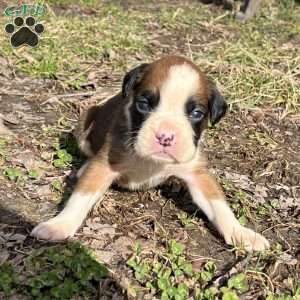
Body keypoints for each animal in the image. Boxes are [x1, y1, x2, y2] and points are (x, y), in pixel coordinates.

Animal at [31, 55, 270, 251]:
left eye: (196, 113)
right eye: (144, 104)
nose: (165, 136)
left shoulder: (198, 175)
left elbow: (219, 206)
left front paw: (240, 233)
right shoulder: (104, 165)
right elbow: (80, 198)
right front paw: (59, 225)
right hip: (85, 121)